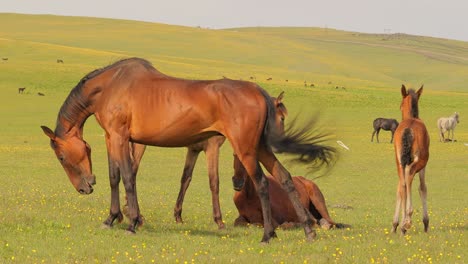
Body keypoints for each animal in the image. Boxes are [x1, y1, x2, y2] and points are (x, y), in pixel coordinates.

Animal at [39, 56, 332, 242]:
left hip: (246, 150)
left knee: (261, 183)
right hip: (260, 148)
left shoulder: (119, 138)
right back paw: (308, 231)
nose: (84, 188)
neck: (111, 85)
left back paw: (268, 235)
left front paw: (132, 222)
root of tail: (257, 90)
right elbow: (115, 178)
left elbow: (128, 178)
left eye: (61, 156)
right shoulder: (112, 138)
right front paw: (111, 218)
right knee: (284, 177)